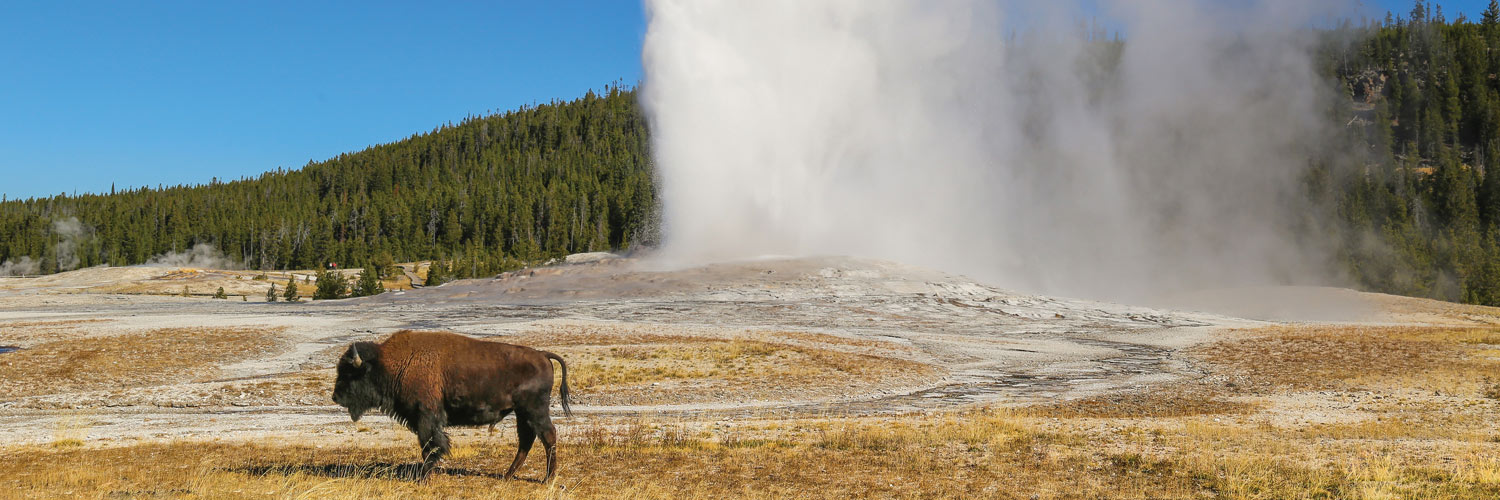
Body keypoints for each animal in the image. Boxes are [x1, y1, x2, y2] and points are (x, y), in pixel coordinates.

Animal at [331, 330, 572, 481]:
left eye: (349, 373)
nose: (335, 397)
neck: (390, 364)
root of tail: (542, 355)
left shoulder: (425, 417)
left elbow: (430, 446)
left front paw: (424, 478)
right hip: (522, 413)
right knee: (527, 440)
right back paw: (508, 475)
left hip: (534, 410)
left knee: (548, 436)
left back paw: (548, 478)